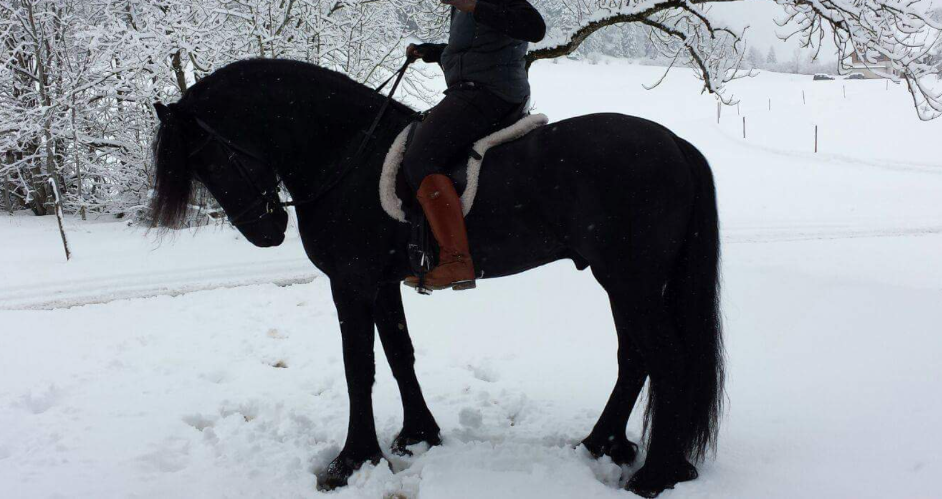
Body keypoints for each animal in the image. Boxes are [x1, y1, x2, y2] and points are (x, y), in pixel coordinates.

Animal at [149, 58, 724, 498]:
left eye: (210, 159)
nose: (265, 231)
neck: (346, 152)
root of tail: (674, 144)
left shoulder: (351, 283)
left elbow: (358, 367)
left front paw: (352, 459)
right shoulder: (382, 283)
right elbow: (398, 355)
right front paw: (417, 435)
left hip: (630, 281)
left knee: (665, 360)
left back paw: (654, 475)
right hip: (625, 283)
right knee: (635, 360)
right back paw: (603, 445)